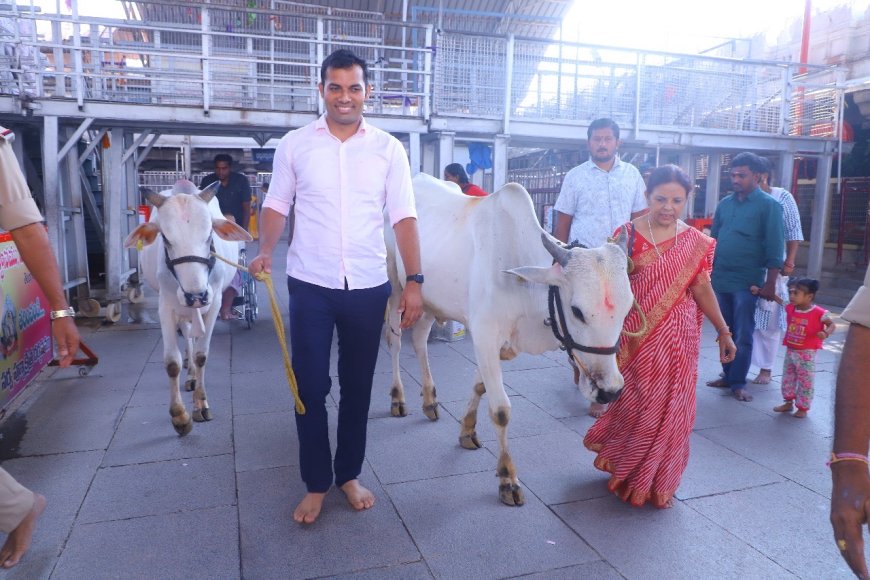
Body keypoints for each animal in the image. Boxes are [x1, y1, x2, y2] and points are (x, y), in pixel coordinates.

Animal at [124, 181, 252, 436]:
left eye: (209, 235)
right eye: (165, 238)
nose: (197, 295)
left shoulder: (213, 304)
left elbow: (202, 355)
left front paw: (201, 404)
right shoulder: (166, 307)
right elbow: (172, 362)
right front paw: (180, 416)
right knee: (186, 334)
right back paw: (189, 371)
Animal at [388, 174, 632, 506]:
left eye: (628, 307)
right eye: (577, 311)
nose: (610, 391)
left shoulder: (497, 343)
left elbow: (480, 387)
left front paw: (467, 431)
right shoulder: (484, 334)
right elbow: (501, 410)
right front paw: (507, 479)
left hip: (428, 300)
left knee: (419, 340)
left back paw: (429, 400)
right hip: (395, 289)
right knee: (396, 342)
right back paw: (398, 398)